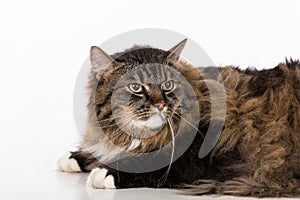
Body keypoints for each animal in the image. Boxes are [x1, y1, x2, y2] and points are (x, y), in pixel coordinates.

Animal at [56, 39, 300, 197]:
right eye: (136, 87)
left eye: (167, 85)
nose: (161, 105)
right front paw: (75, 158)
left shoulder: (199, 158)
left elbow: (149, 164)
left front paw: (104, 172)